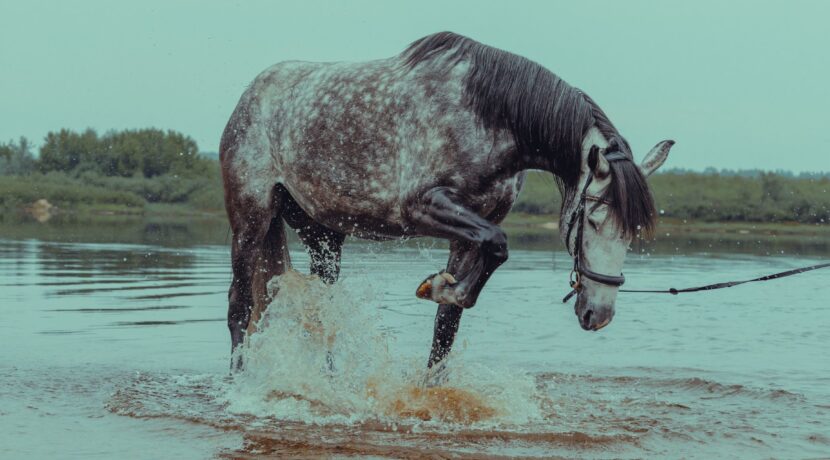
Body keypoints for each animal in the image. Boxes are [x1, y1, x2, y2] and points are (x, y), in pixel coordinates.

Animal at [219, 31, 676, 370]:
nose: (599, 315)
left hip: (323, 236)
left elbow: (447, 328)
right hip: (250, 220)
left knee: (323, 310)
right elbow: (497, 245)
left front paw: (443, 296)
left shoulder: (467, 231)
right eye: (594, 218)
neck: (488, 117)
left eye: (632, 231)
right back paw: (238, 385)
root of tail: (251, 94)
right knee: (240, 306)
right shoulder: (422, 206)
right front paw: (438, 286)